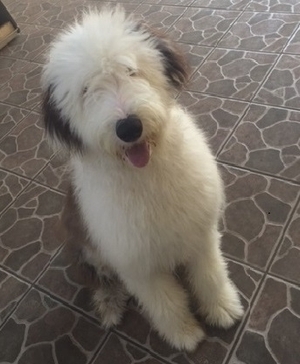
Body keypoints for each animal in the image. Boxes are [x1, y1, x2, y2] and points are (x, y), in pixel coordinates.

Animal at [41, 7, 244, 352]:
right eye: (86, 91)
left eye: (130, 70)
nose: (128, 127)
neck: (147, 176)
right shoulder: (136, 265)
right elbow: (165, 302)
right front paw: (184, 334)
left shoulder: (201, 233)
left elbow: (210, 275)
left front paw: (222, 308)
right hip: (81, 247)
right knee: (98, 279)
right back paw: (109, 304)